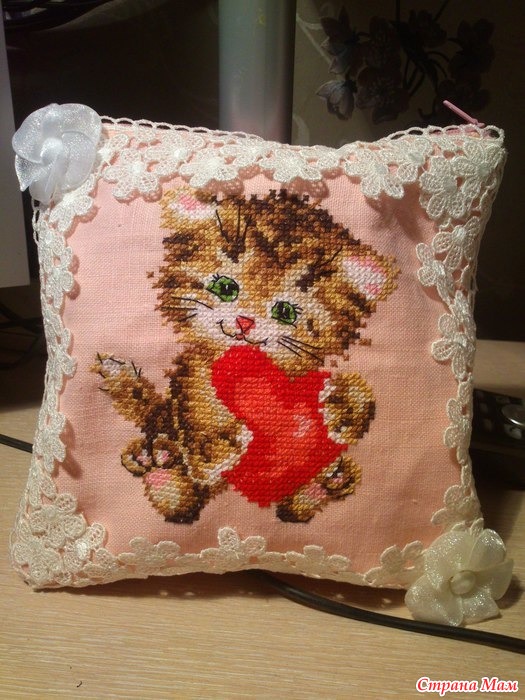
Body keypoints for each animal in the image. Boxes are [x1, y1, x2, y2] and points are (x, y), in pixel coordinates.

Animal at [93, 187, 398, 523]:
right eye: (226, 288)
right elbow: (200, 404)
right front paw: (215, 450)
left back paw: (321, 488)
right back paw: (161, 469)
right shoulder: (196, 372)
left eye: (285, 312)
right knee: (180, 500)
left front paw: (342, 407)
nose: (244, 322)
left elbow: (360, 391)